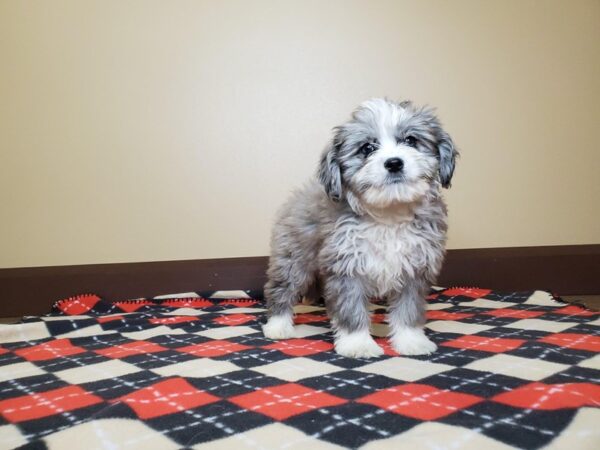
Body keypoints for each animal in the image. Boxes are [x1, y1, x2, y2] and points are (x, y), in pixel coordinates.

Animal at [260, 98, 458, 358]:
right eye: (367, 148)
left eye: (411, 140)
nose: (394, 163)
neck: (389, 215)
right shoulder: (347, 267)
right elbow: (351, 309)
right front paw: (358, 343)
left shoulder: (415, 269)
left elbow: (408, 310)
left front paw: (411, 341)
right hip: (294, 259)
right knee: (281, 288)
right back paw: (277, 325)